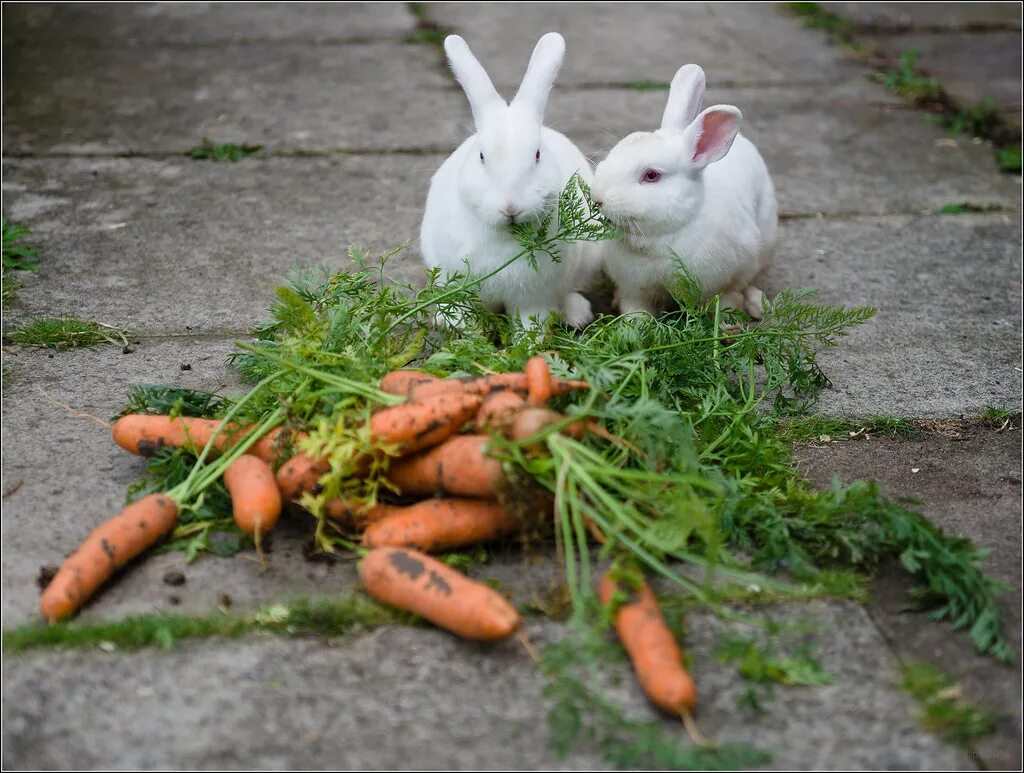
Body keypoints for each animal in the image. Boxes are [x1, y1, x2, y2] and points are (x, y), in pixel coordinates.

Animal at [419, 32, 602, 329]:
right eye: (482, 156)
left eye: (537, 155)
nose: (511, 208)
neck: (508, 237)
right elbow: (469, 316)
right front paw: (462, 327)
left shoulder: (534, 298)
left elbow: (531, 323)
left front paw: (530, 339)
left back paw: (576, 314)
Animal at [589, 65, 778, 319]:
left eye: (651, 175)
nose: (597, 198)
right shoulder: (634, 288)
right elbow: (635, 308)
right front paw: (635, 325)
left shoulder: (729, 279)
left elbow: (729, 298)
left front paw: (727, 323)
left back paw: (759, 305)